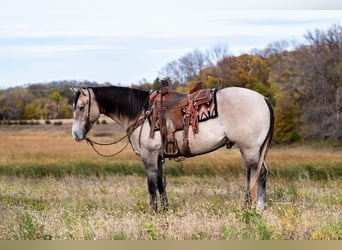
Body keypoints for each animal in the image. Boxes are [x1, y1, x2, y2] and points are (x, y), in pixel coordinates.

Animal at [71, 85, 274, 212]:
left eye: (81, 107)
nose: (76, 135)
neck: (141, 113)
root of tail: (263, 98)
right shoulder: (160, 157)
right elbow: (162, 184)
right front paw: (165, 210)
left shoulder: (149, 156)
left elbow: (152, 185)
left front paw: (153, 212)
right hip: (252, 151)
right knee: (257, 174)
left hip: (250, 150)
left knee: (257, 175)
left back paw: (255, 208)